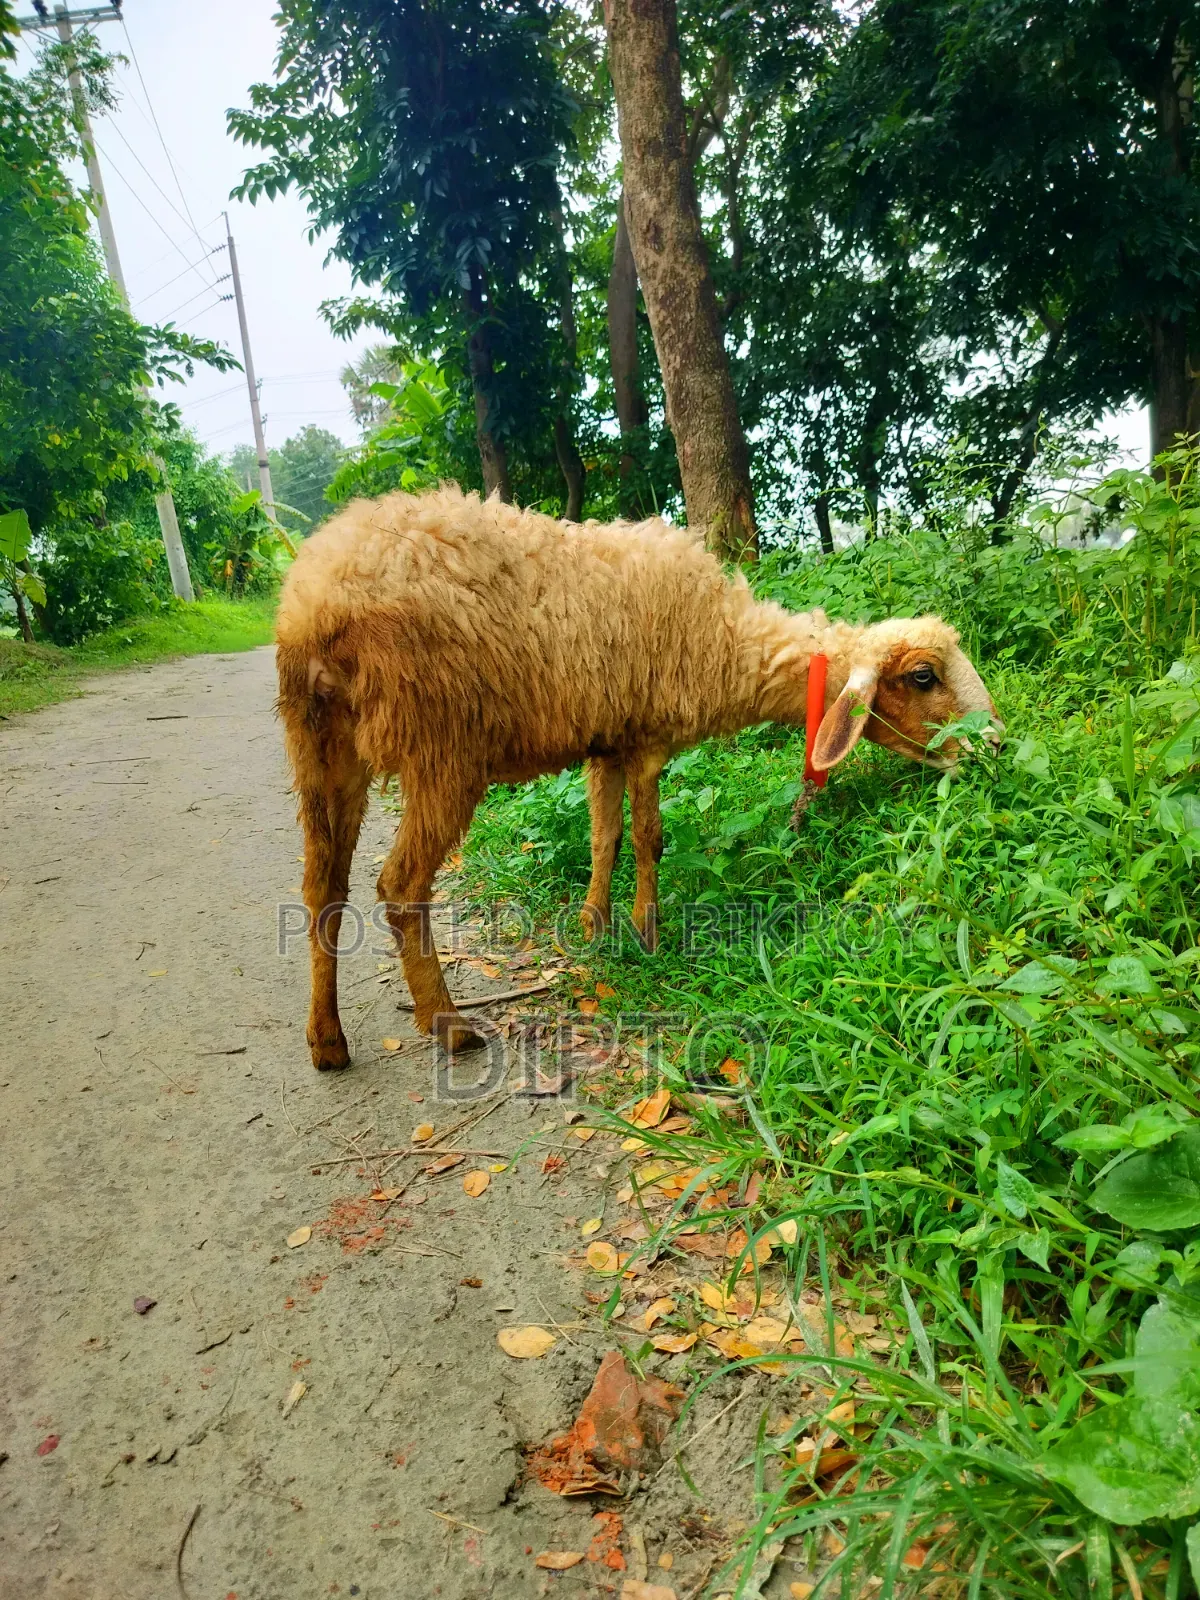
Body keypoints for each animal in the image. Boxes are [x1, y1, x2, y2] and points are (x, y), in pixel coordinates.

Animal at [276, 485, 1000, 1070]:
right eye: (924, 676)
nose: (994, 745)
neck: (727, 641)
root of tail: (315, 602)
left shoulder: (607, 741)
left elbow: (605, 837)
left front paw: (593, 925)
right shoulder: (650, 738)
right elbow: (650, 837)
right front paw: (648, 931)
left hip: (322, 751)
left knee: (322, 889)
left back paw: (326, 1040)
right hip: (440, 748)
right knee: (400, 888)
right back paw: (447, 1025)